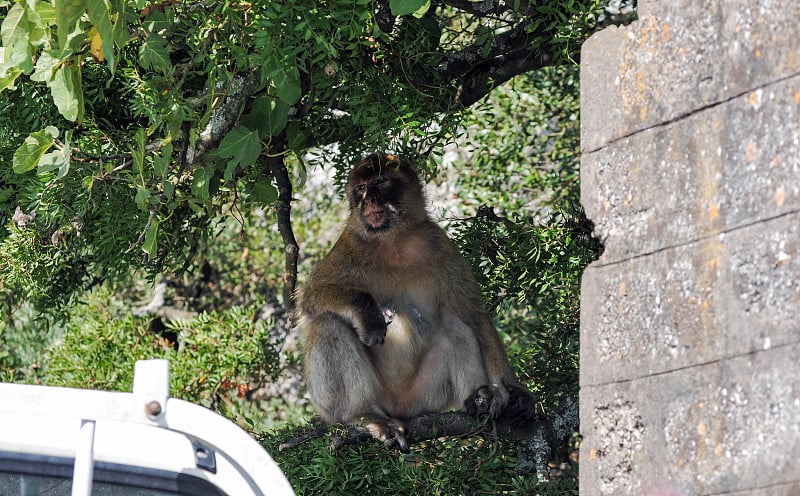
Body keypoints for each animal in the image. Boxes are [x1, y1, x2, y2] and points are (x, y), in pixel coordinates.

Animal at [296, 154, 536, 450]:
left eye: (380, 181)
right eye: (361, 188)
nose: (369, 200)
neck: (394, 241)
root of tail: (399, 407)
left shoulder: (440, 244)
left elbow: (471, 312)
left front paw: (513, 390)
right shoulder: (350, 245)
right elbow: (311, 298)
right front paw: (369, 315)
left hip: (425, 396)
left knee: (453, 323)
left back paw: (478, 398)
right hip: (346, 403)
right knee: (328, 322)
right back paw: (366, 415)